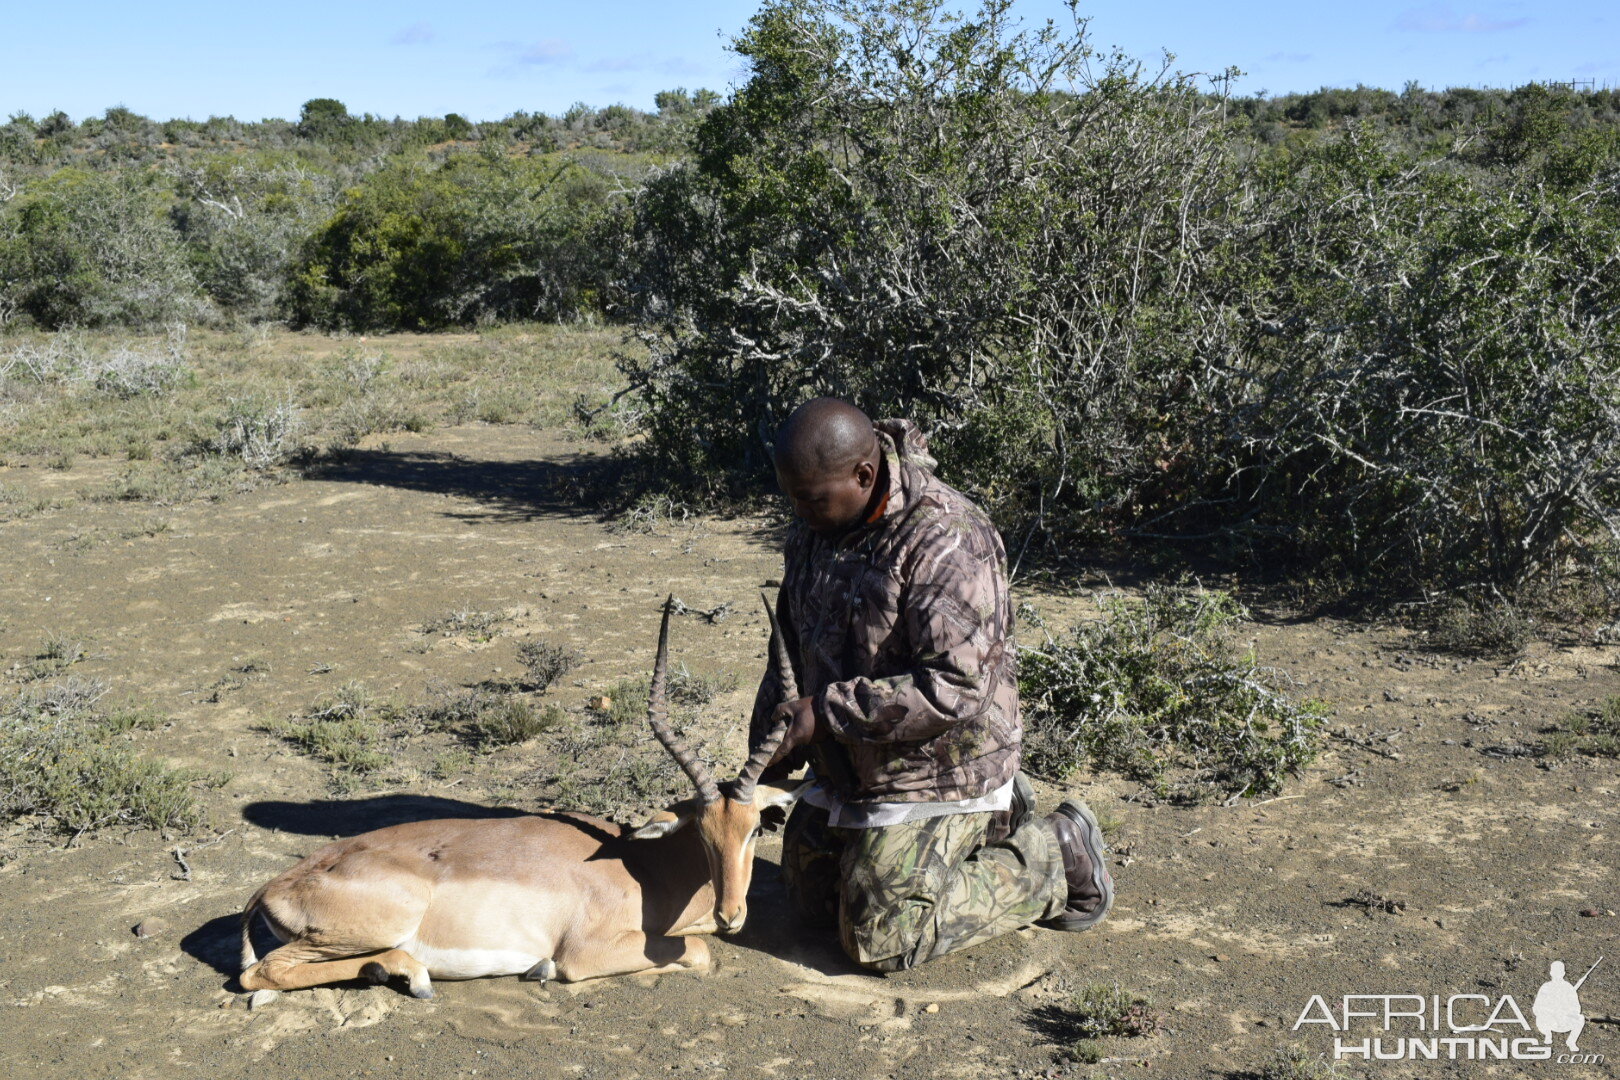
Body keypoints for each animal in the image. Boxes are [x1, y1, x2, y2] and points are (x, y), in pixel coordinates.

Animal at [237, 596, 808, 997]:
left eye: (754, 829)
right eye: (704, 835)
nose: (731, 916)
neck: (643, 867)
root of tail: (270, 888)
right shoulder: (589, 952)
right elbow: (698, 951)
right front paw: (543, 968)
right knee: (260, 974)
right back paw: (412, 975)